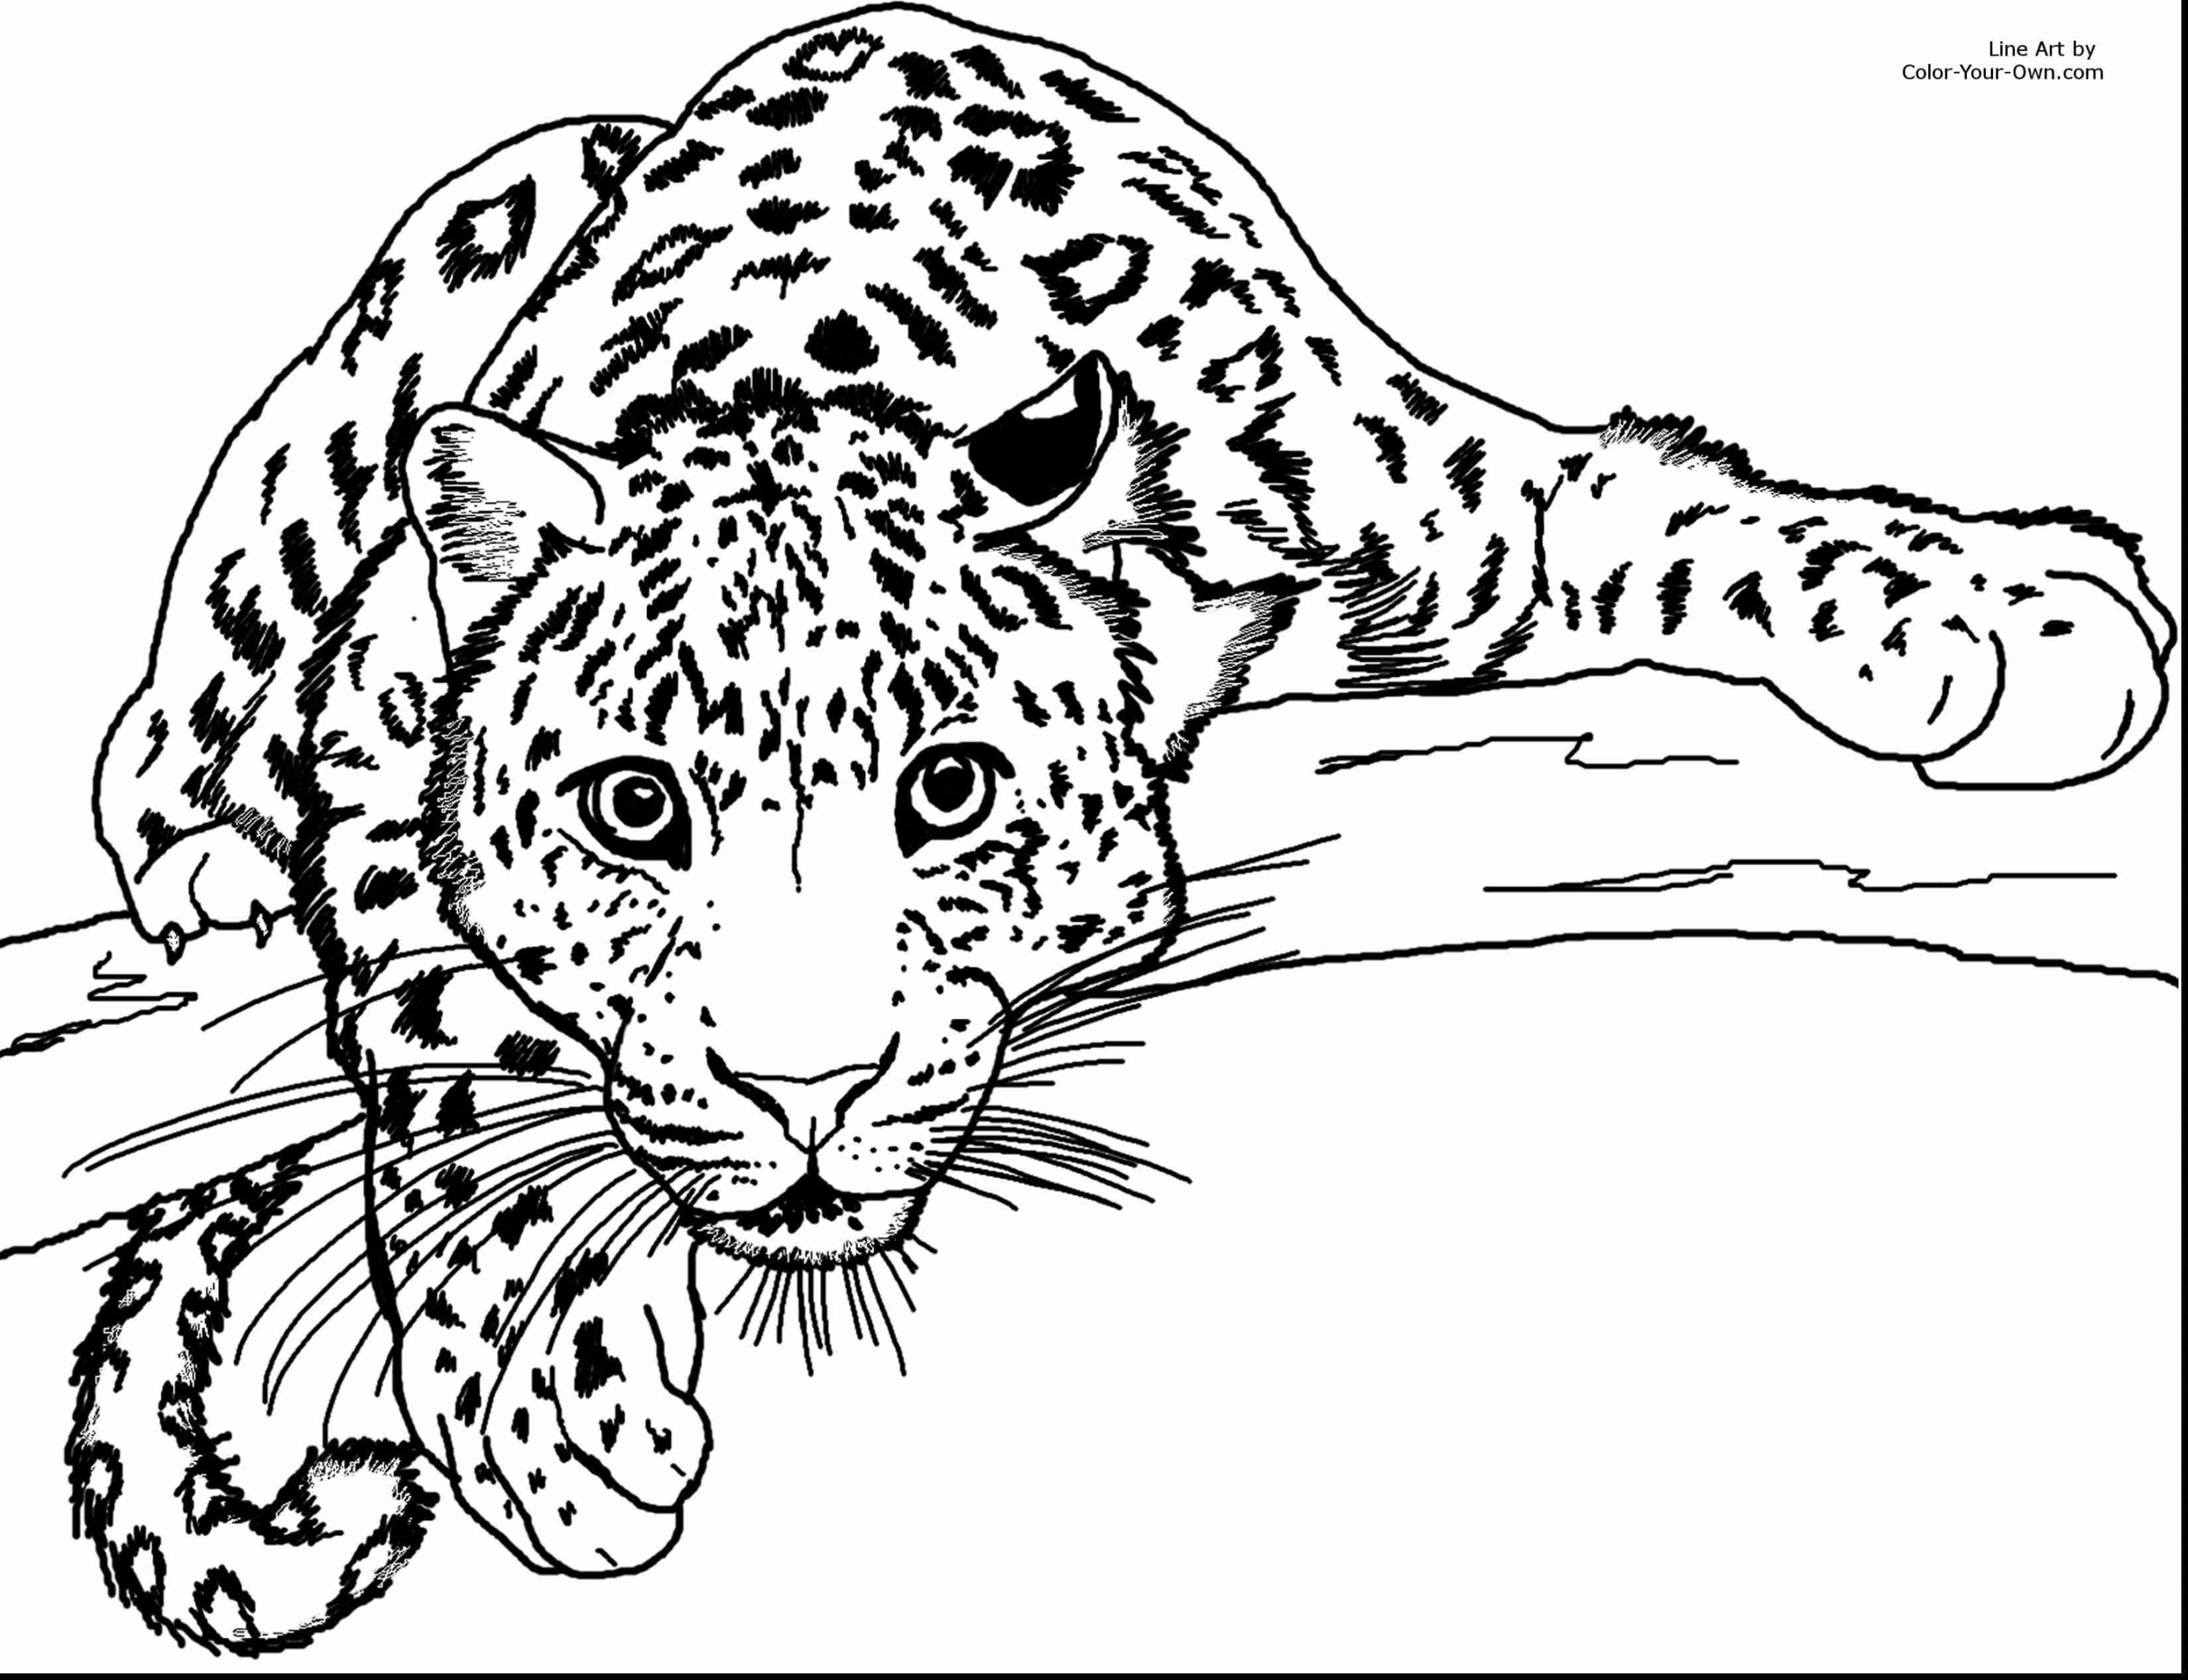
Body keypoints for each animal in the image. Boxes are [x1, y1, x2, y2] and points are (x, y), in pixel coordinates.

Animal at [66, 3, 2173, 1652]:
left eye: (947, 790)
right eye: (633, 809)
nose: (802, 1090)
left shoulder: (1449, 505)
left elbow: (1690, 518)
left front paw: (2008, 611)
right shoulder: (377, 681)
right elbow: (442, 1013)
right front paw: (549, 1390)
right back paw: (193, 846)